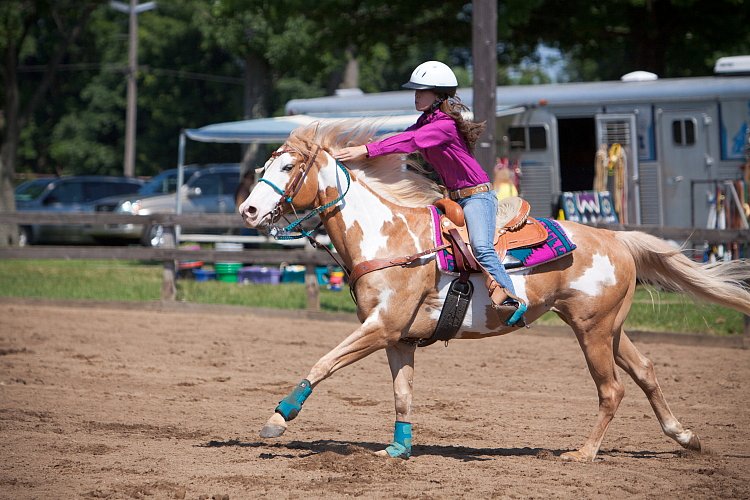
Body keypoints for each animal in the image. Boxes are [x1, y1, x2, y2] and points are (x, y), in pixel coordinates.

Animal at [239, 118, 750, 460]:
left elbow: (323, 362)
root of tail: (618, 239)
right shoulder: (398, 338)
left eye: (287, 167)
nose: (247, 210)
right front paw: (397, 451)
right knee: (645, 372)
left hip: (593, 332)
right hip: (609, 328)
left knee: (612, 389)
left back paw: (583, 454)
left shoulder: (381, 326)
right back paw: (685, 437)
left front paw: (277, 419)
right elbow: (403, 394)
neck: (389, 236)